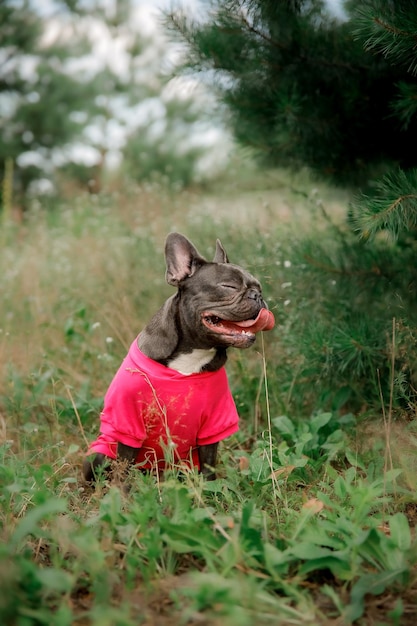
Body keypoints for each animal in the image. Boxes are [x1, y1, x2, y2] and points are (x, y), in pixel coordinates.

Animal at [83, 234, 274, 482]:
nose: (258, 294)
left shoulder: (213, 427)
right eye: (228, 286)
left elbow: (209, 468)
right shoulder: (128, 424)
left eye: (258, 286)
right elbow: (123, 471)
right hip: (98, 455)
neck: (192, 356)